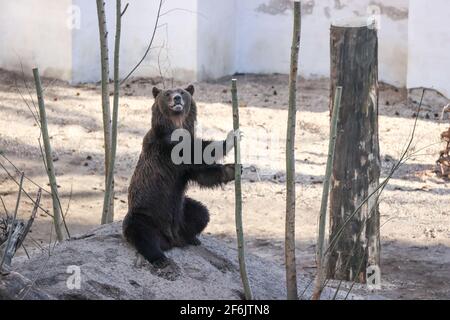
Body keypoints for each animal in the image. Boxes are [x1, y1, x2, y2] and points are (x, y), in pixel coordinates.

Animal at [121, 84, 237, 268]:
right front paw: (232, 136)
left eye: (183, 92)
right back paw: (160, 258)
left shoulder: (183, 172)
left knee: (201, 212)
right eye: (167, 93)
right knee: (141, 234)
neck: (177, 124)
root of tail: (170, 238)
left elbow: (203, 174)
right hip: (146, 214)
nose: (177, 98)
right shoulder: (166, 145)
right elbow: (197, 151)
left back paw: (191, 238)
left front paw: (234, 168)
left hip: (180, 210)